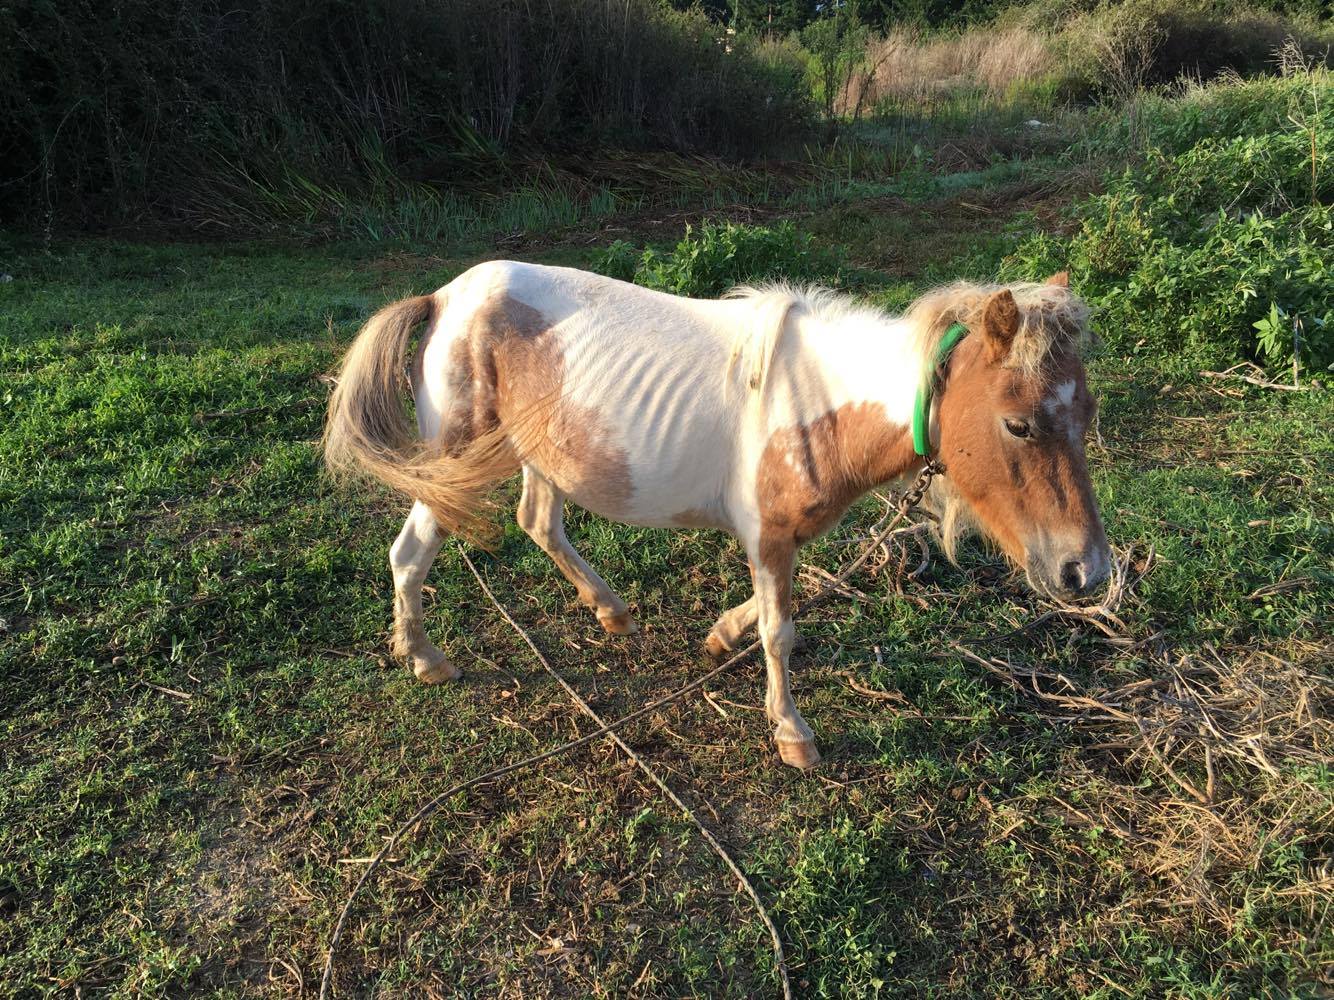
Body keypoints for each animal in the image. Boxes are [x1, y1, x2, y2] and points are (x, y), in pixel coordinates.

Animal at [328, 262, 1109, 773]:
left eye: (1088, 413)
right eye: (1017, 424)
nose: (1085, 572)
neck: (815, 401)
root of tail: (442, 299)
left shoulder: (778, 538)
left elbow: (767, 614)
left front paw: (718, 636)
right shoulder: (767, 536)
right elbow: (779, 631)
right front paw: (792, 733)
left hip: (542, 451)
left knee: (539, 522)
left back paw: (609, 610)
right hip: (450, 468)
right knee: (410, 554)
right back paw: (424, 658)